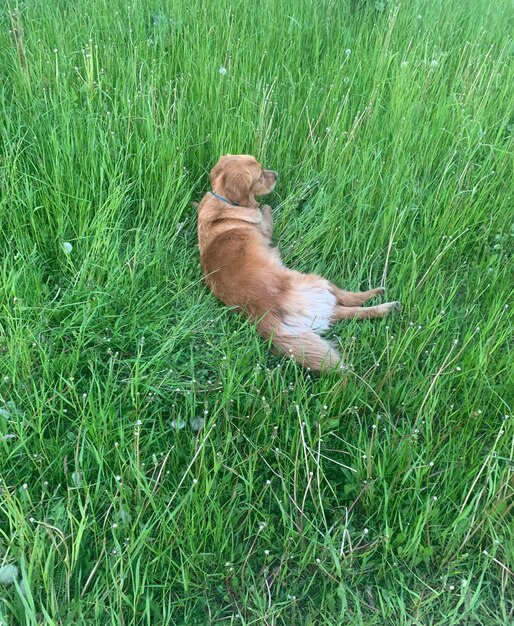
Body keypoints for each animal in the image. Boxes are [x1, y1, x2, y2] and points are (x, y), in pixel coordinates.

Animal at [196, 154, 400, 370]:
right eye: (260, 176)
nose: (276, 175)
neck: (224, 201)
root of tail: (264, 313)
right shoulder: (265, 227)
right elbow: (265, 210)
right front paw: (267, 206)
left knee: (347, 312)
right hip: (316, 281)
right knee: (348, 299)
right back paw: (383, 300)